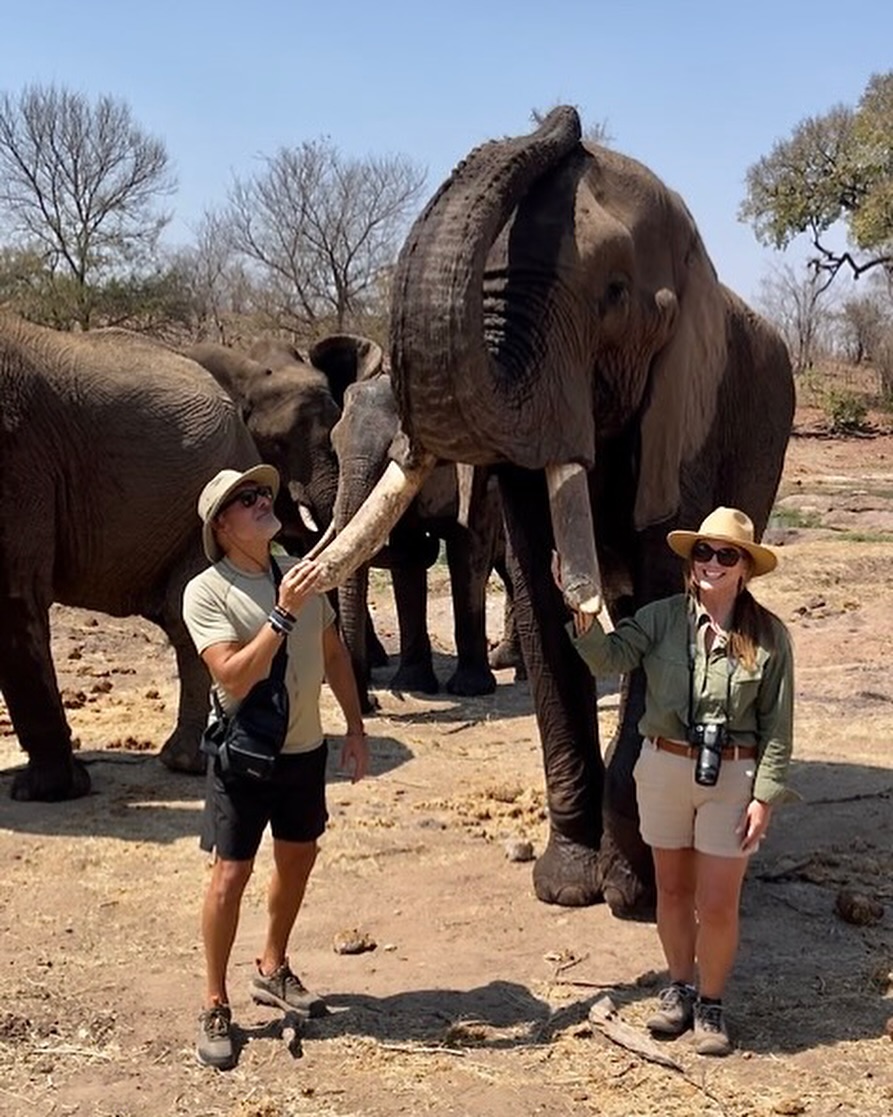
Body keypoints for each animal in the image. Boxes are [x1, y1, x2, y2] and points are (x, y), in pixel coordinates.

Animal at [329, 371, 523, 712]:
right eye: (333, 447)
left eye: (394, 451)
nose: (371, 703)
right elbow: (408, 563)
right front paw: (412, 685)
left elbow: (468, 553)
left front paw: (470, 689)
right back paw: (505, 661)